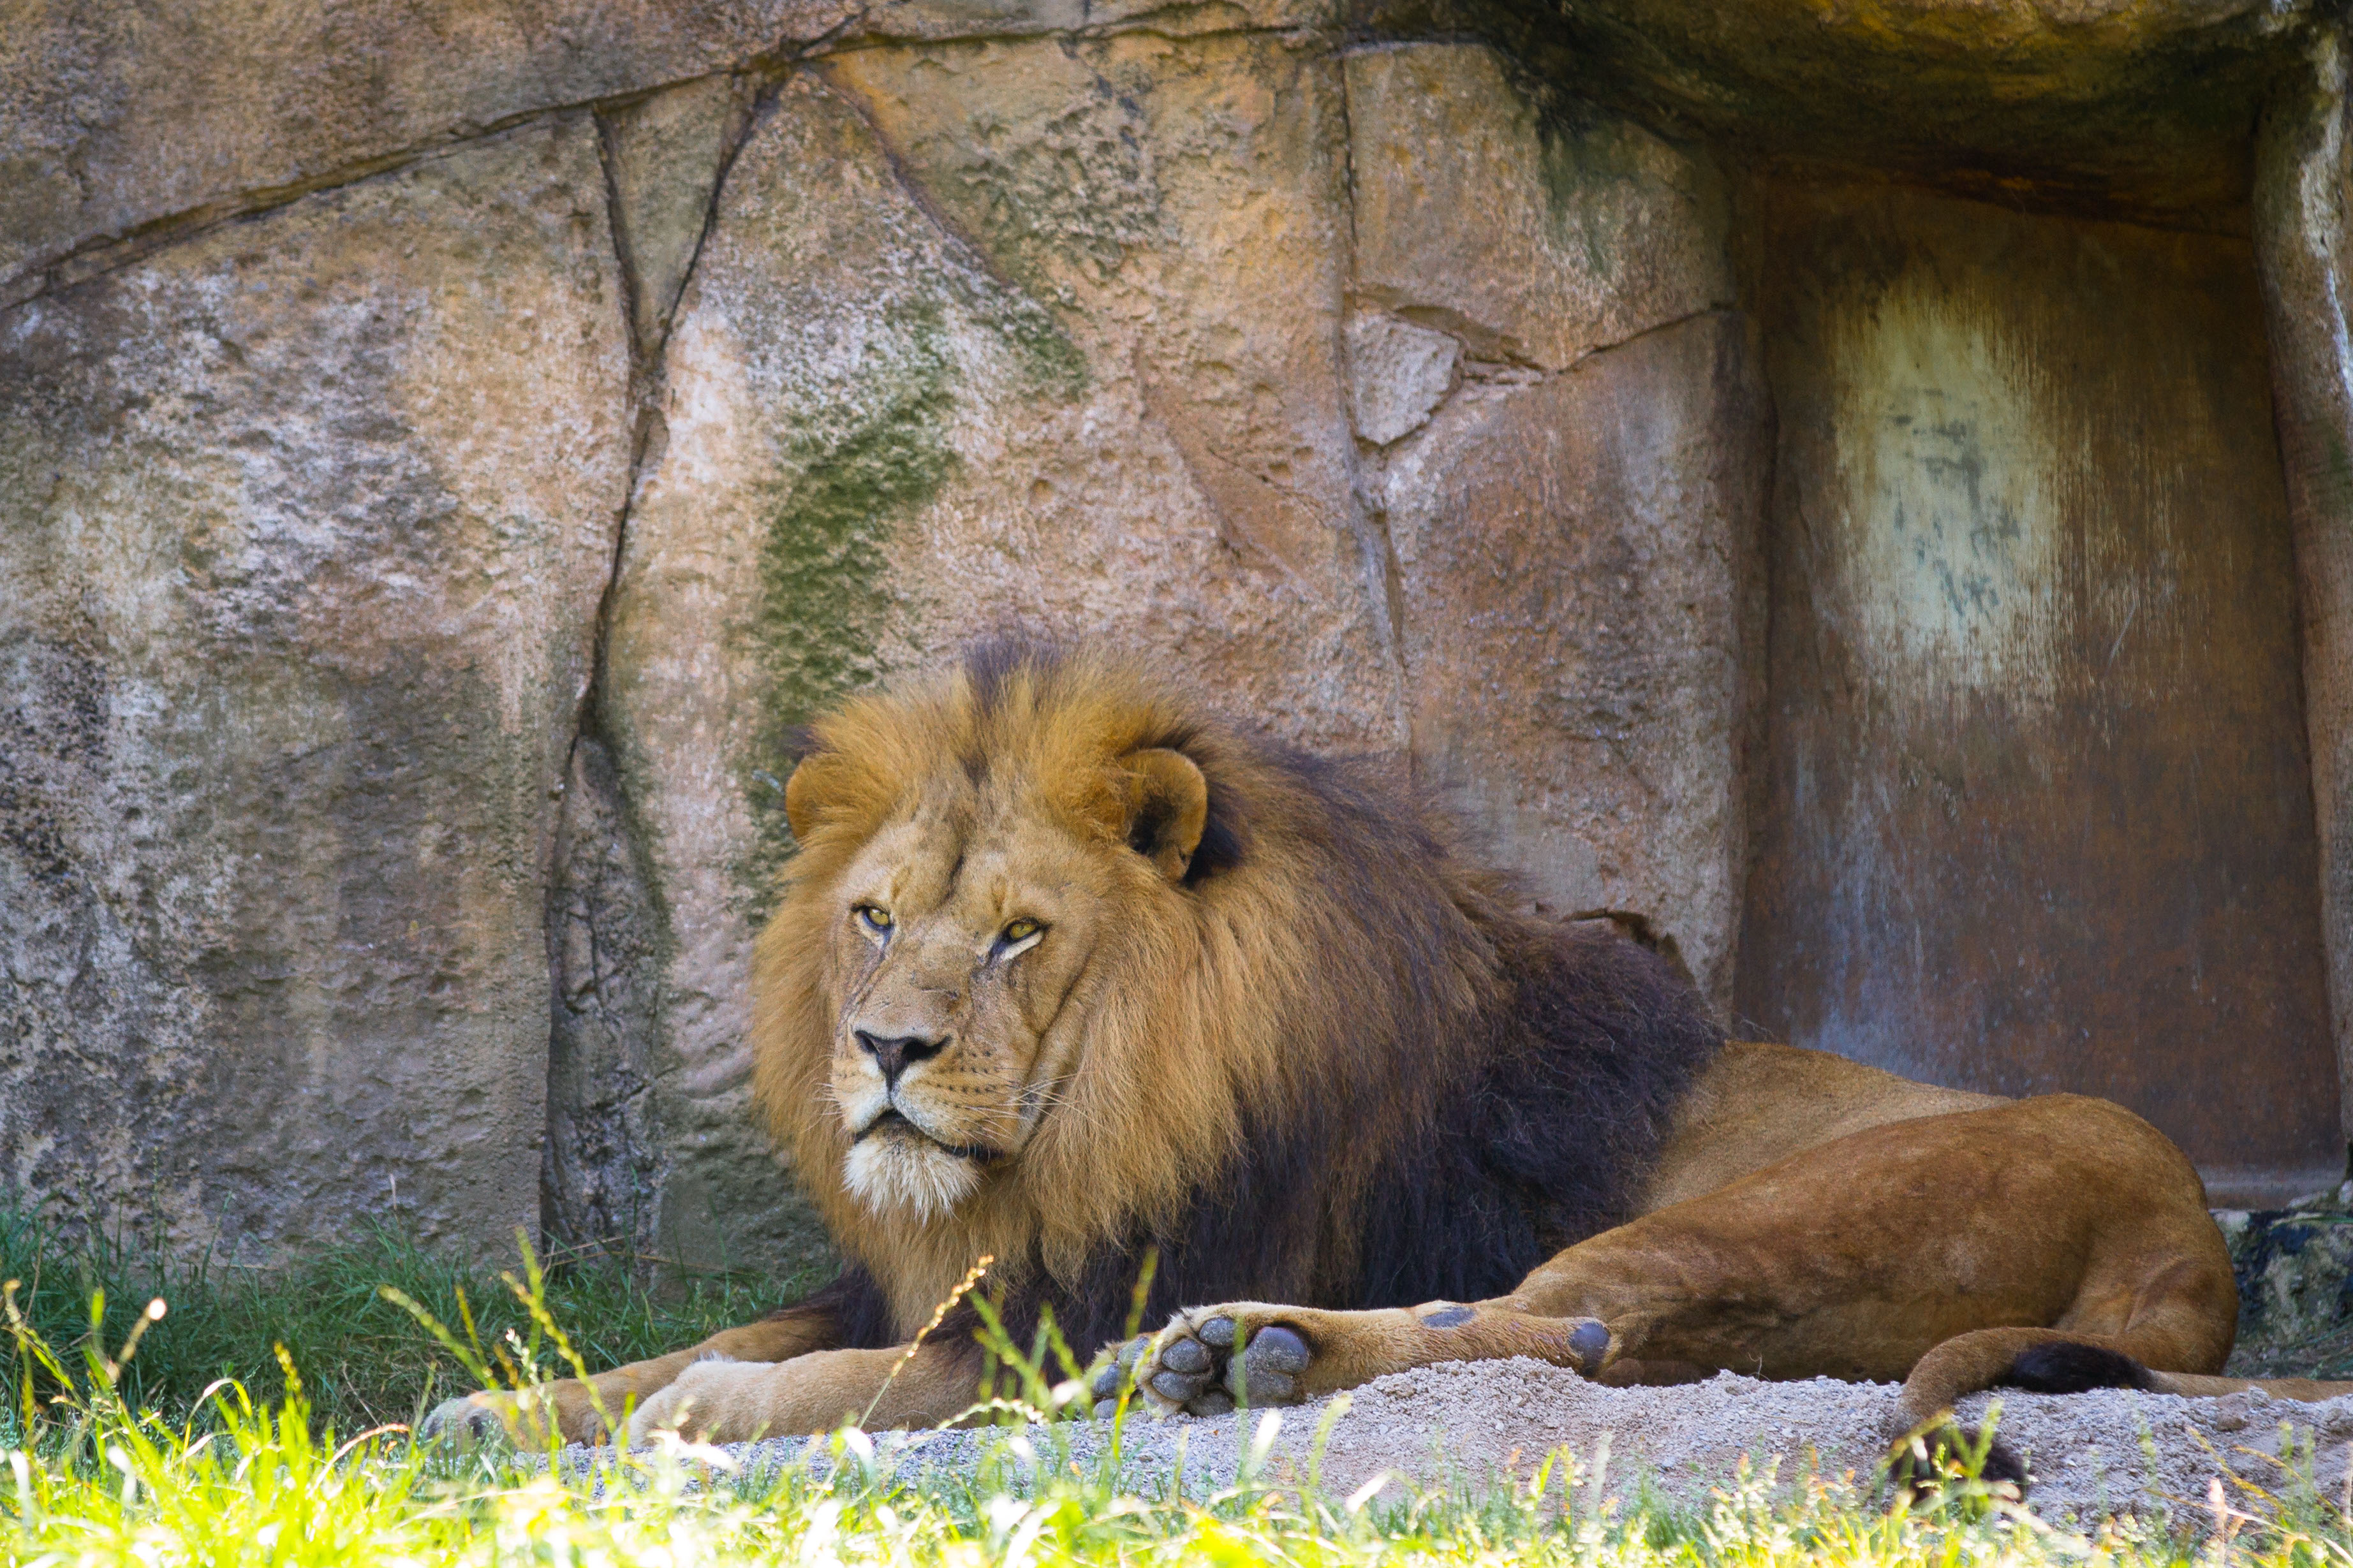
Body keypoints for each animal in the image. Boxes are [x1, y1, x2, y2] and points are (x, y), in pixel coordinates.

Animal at [428, 639, 2353, 1485]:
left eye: (1023, 935)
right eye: (876, 917)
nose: (885, 1050)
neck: (1088, 1126)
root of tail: (2185, 1231)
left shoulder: (1053, 1296)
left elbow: (820, 1381)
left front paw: (691, 1416)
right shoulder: (941, 1270)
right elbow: (695, 1340)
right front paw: (470, 1410)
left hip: (1793, 1198)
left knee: (1559, 1327)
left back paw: (1225, 1357)